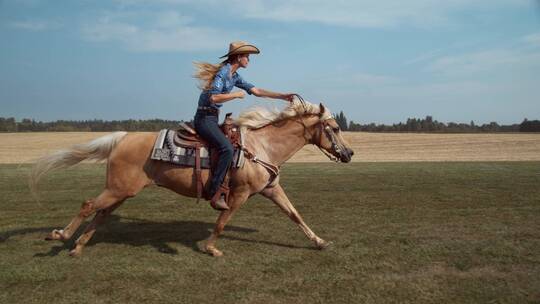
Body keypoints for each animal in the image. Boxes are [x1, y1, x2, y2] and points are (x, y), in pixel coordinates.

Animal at [31, 100, 356, 256]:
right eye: (335, 128)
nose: (350, 153)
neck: (261, 147)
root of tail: (122, 138)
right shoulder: (238, 195)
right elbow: (222, 222)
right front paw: (211, 248)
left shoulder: (272, 190)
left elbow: (295, 215)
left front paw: (320, 242)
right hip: (118, 189)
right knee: (88, 205)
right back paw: (60, 236)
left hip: (121, 191)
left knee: (100, 213)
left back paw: (78, 247)